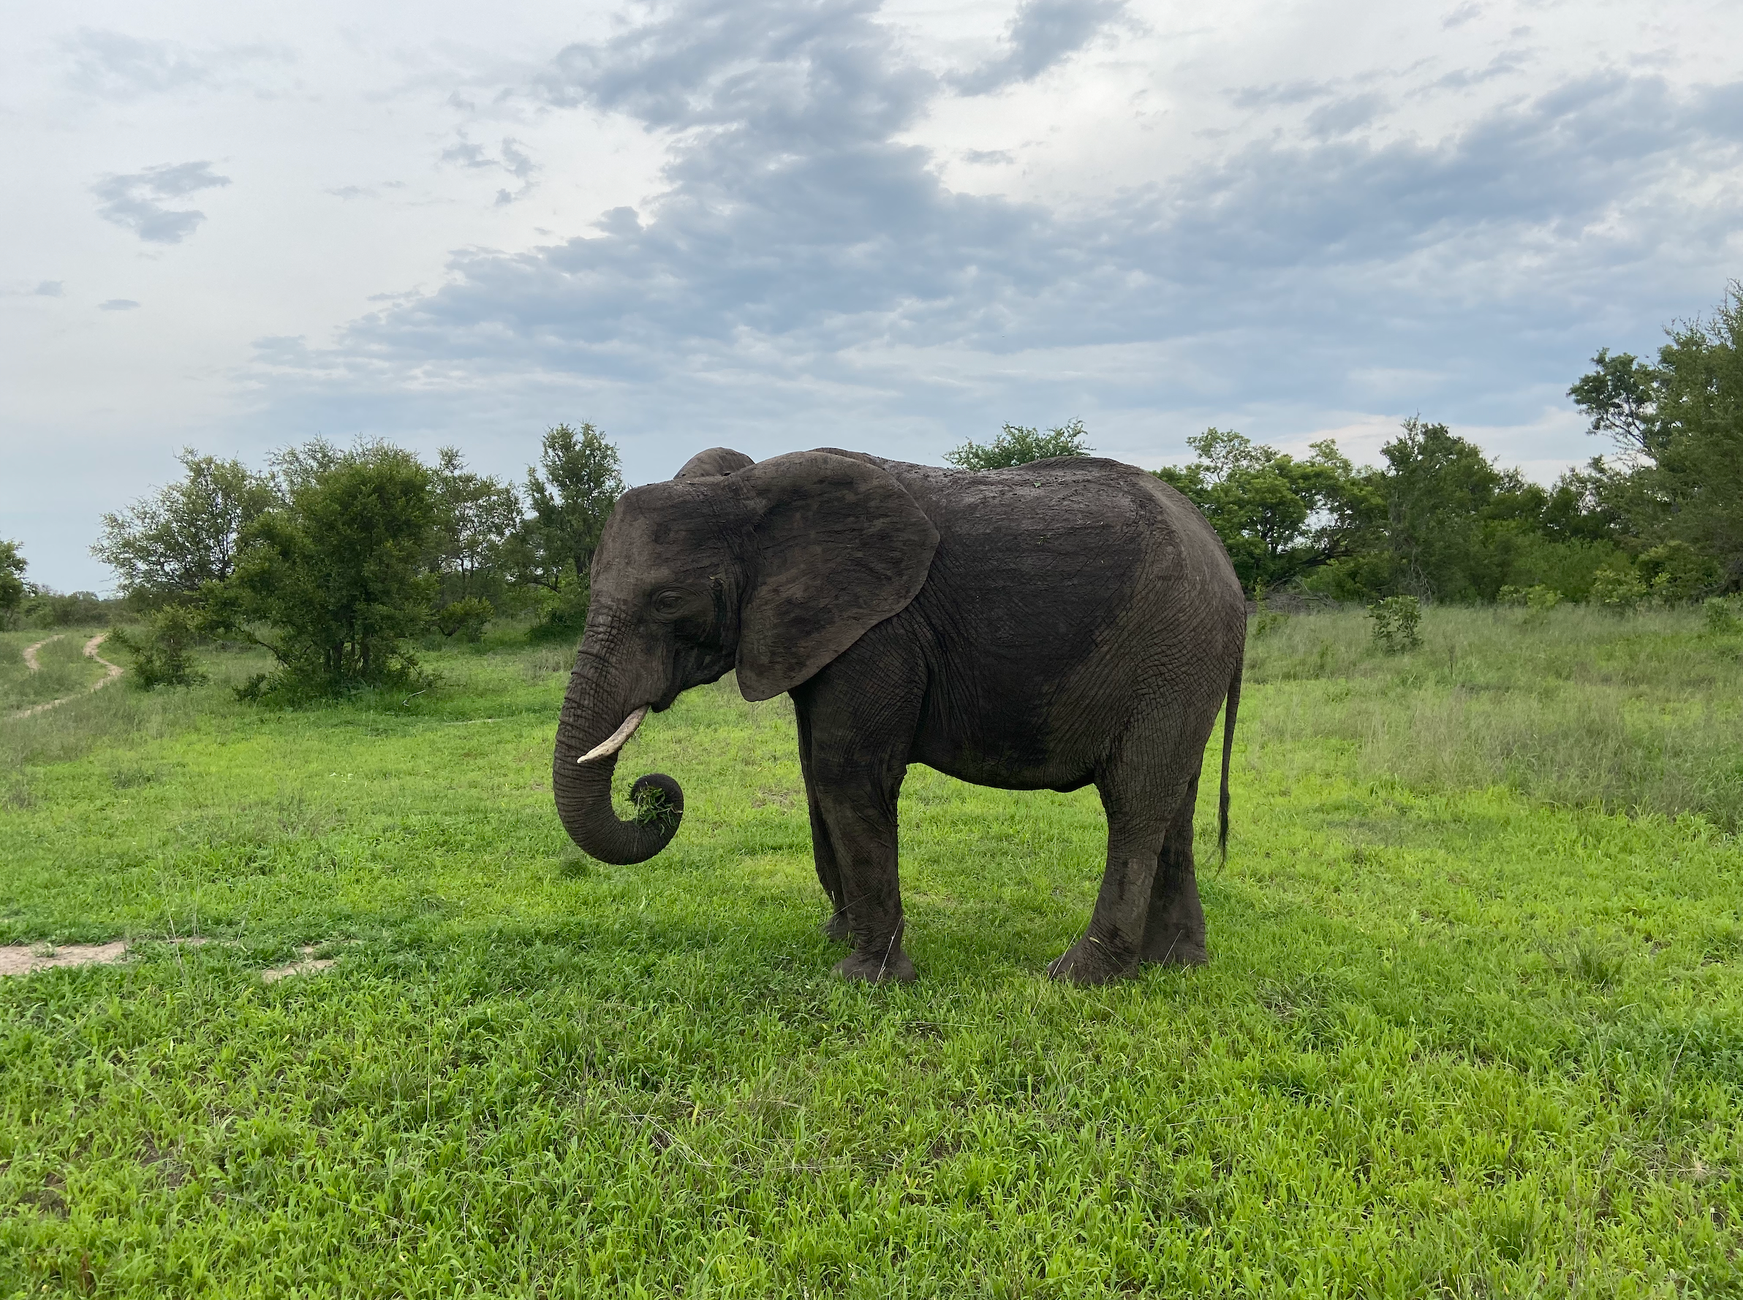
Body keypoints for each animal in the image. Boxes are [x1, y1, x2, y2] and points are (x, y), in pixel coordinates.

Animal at [552, 447, 1246, 985]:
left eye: (668, 601)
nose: (650, 791)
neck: (748, 496)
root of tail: (1226, 566)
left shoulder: (881, 633)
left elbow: (847, 776)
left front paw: (866, 977)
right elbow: (814, 775)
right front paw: (837, 935)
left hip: (1171, 651)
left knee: (1135, 800)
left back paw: (1077, 977)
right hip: (1185, 667)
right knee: (1175, 802)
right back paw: (1176, 965)